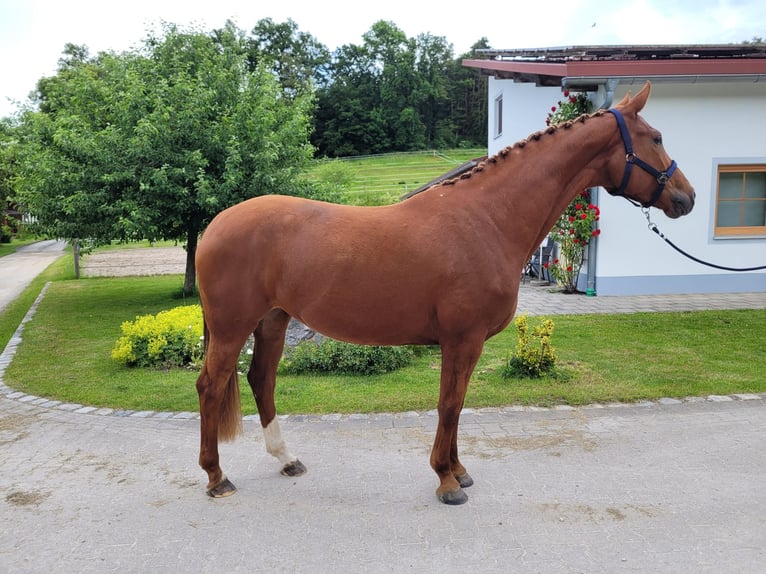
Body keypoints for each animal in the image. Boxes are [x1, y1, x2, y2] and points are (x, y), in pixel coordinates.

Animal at [196, 81, 696, 504]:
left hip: (273, 321)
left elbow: (456, 405)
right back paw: (217, 477)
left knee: (261, 379)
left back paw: (287, 460)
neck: (488, 218)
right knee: (211, 385)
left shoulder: (466, 344)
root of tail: (215, 224)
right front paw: (447, 481)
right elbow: (450, 405)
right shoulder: (462, 340)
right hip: (232, 327)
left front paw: (458, 470)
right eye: (655, 137)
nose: (686, 197)